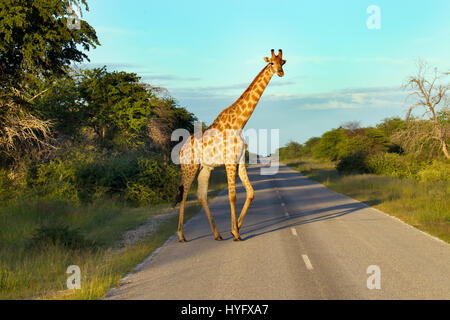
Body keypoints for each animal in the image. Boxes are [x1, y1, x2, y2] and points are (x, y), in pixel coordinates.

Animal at [174, 48, 286, 241]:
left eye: (282, 62)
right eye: (271, 62)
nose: (280, 72)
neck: (240, 123)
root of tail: (181, 149)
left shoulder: (239, 160)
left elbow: (251, 193)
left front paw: (235, 229)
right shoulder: (230, 161)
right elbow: (232, 196)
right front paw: (236, 233)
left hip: (205, 167)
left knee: (201, 195)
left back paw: (217, 234)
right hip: (189, 166)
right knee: (184, 195)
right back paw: (181, 236)